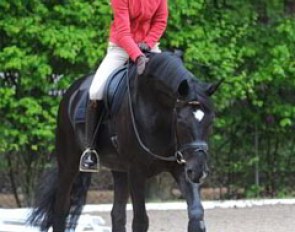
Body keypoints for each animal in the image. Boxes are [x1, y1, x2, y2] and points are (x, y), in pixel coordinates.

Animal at [29, 52, 220, 232]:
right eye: (181, 121)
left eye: (211, 121)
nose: (199, 171)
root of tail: (71, 92)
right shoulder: (136, 171)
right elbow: (141, 221)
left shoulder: (181, 167)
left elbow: (196, 213)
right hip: (69, 164)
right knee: (60, 208)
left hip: (120, 170)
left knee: (117, 214)